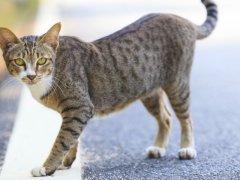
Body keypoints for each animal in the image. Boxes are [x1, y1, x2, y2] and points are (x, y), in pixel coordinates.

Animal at [0, 0, 218, 177]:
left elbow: (62, 140)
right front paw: (65, 162)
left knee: (186, 118)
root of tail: (183, 20)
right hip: (149, 91)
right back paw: (158, 147)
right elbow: (71, 138)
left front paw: (47, 167)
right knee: (166, 117)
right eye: (19, 61)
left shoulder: (80, 107)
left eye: (42, 61)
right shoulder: (72, 112)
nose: (31, 75)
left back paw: (187, 148)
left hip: (177, 83)